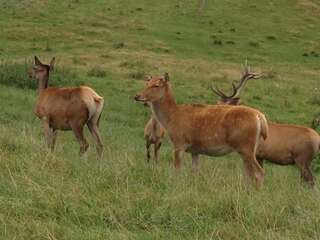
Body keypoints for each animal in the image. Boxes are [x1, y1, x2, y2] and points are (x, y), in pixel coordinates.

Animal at [134, 72, 268, 187]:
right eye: (147, 83)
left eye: (156, 85)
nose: (137, 96)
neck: (171, 118)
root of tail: (260, 117)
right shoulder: (195, 150)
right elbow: (195, 171)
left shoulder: (179, 142)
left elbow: (177, 170)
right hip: (249, 148)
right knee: (250, 173)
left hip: (245, 146)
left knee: (259, 172)